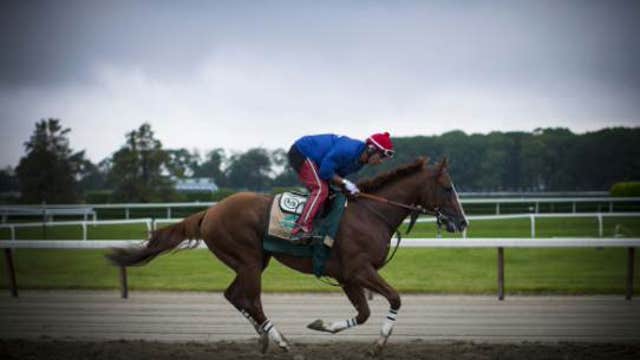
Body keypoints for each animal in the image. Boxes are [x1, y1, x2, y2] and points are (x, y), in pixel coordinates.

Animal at [107, 157, 468, 354]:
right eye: (448, 187)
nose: (462, 221)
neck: (370, 213)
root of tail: (210, 211)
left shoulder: (347, 276)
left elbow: (363, 313)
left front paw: (321, 324)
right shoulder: (358, 270)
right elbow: (395, 299)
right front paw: (377, 346)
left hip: (251, 262)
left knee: (234, 295)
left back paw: (264, 338)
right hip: (249, 260)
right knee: (250, 299)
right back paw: (281, 342)